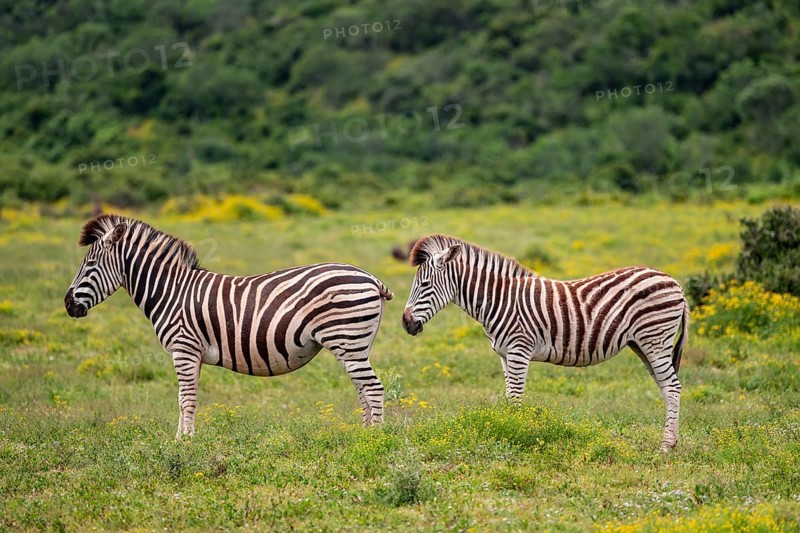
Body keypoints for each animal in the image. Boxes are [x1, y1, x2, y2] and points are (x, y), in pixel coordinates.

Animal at [64, 214, 392, 437]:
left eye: (89, 266)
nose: (67, 304)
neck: (172, 290)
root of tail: (369, 276)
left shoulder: (184, 349)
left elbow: (185, 399)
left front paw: (184, 442)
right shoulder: (192, 354)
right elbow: (186, 399)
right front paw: (182, 438)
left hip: (347, 340)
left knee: (373, 388)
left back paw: (373, 440)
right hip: (352, 346)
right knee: (363, 390)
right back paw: (361, 433)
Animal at [401, 234, 688, 452]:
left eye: (424, 284)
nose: (406, 323)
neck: (499, 299)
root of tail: (674, 282)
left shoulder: (519, 350)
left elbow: (516, 397)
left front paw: (514, 433)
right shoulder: (504, 355)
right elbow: (508, 396)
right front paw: (508, 430)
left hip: (655, 340)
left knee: (673, 386)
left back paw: (666, 445)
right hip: (642, 344)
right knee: (666, 387)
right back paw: (670, 440)